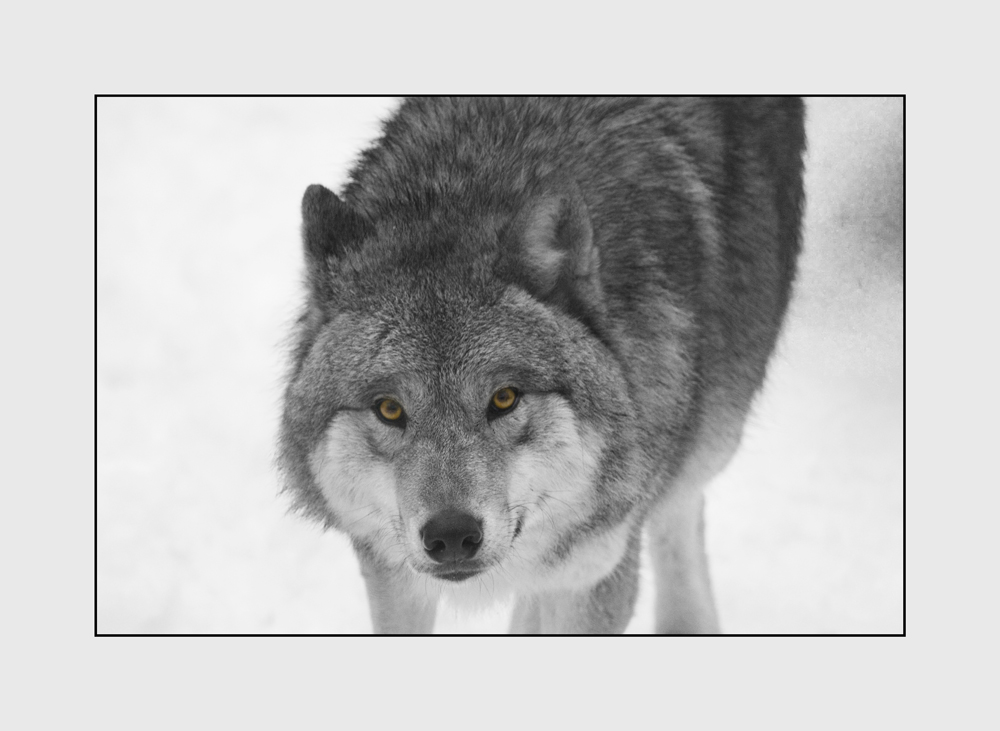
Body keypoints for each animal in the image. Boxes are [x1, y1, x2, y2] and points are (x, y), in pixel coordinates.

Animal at [278, 98, 808, 636]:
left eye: (504, 398)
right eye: (389, 409)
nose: (451, 536)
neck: (463, 193)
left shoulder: (596, 571)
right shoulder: (392, 573)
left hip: (713, 429)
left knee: (681, 506)